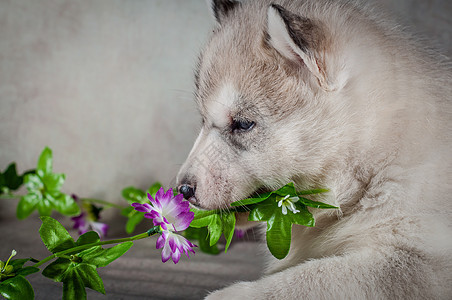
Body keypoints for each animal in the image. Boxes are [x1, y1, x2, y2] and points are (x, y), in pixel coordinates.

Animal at [176, 0, 448, 298]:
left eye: (244, 124)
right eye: (203, 120)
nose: (183, 190)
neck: (375, 169)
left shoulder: (419, 259)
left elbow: (315, 278)